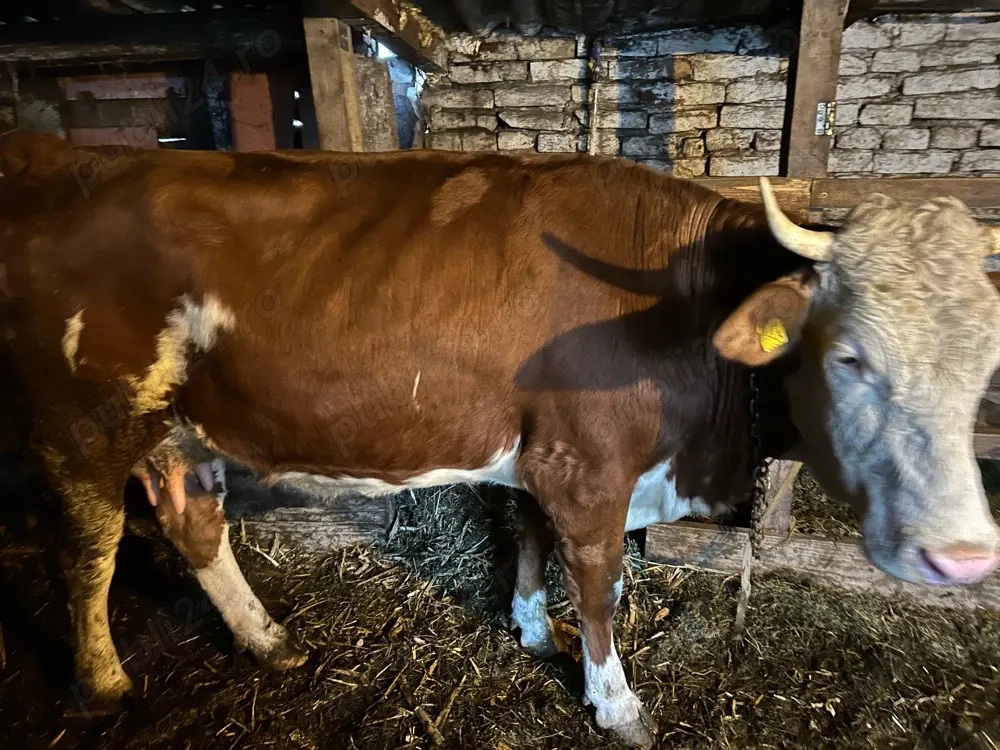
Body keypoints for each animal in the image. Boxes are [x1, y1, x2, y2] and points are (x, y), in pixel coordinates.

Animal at [1, 130, 998, 748]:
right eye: (849, 356)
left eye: (985, 360)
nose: (962, 557)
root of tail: (66, 158)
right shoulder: (589, 469)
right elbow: (599, 584)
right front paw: (615, 702)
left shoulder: (536, 454)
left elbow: (526, 540)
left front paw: (525, 626)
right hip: (82, 419)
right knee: (86, 549)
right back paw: (104, 685)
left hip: (182, 427)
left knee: (193, 523)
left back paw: (268, 641)